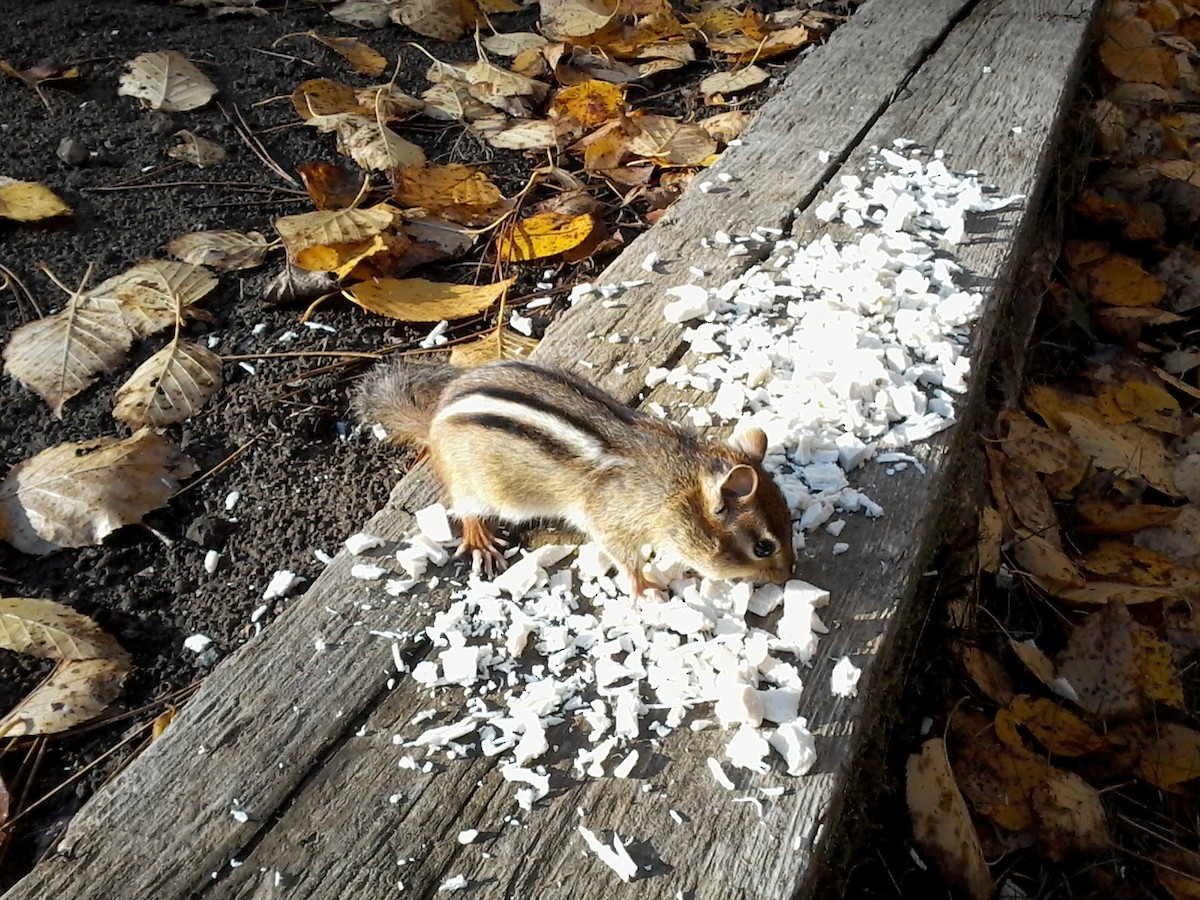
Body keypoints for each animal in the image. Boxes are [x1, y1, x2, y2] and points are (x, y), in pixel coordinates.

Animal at [354, 358, 794, 596]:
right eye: (763, 547)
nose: (790, 575)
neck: (681, 483)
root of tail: (433, 422)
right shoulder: (613, 521)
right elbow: (625, 558)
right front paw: (644, 588)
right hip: (474, 486)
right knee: (465, 510)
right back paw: (480, 539)